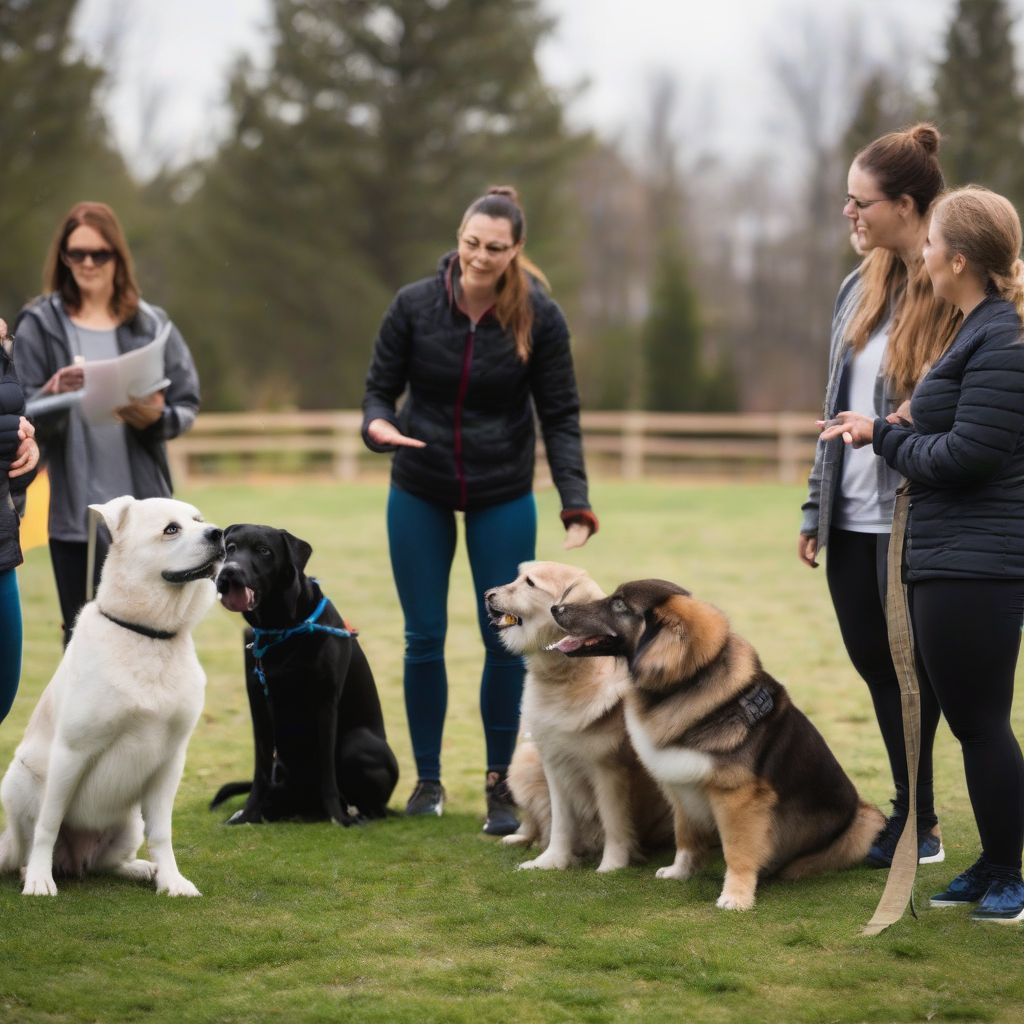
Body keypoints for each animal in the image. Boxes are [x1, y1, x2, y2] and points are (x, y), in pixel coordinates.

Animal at [0, 495, 224, 897]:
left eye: (198, 520)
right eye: (171, 529)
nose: (220, 534)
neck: (148, 634)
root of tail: (75, 861)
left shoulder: (171, 760)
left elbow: (162, 833)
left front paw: (172, 880)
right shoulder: (71, 752)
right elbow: (48, 824)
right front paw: (41, 881)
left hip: (128, 821)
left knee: (108, 862)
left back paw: (143, 869)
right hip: (19, 780)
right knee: (27, 845)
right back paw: (32, 871)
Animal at [485, 561, 671, 872]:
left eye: (530, 583)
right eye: (517, 577)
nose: (488, 594)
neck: (563, 677)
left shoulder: (608, 769)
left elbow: (614, 822)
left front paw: (611, 866)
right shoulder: (554, 763)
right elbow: (561, 822)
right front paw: (551, 861)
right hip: (524, 760)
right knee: (536, 820)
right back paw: (521, 837)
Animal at [548, 581, 884, 909]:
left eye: (619, 604)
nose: (556, 608)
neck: (686, 684)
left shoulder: (738, 798)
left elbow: (738, 850)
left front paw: (736, 896)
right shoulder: (680, 786)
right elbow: (685, 836)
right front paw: (680, 871)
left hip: (866, 823)